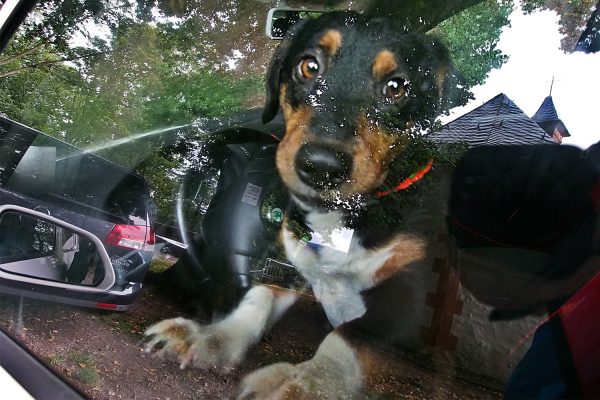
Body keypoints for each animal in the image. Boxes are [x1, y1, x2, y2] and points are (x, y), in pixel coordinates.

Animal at [142, 10, 460, 398]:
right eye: (309, 66)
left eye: (397, 86)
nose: (321, 166)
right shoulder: (291, 267)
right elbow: (259, 297)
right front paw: (209, 337)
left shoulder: (409, 296)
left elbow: (348, 338)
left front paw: (308, 381)